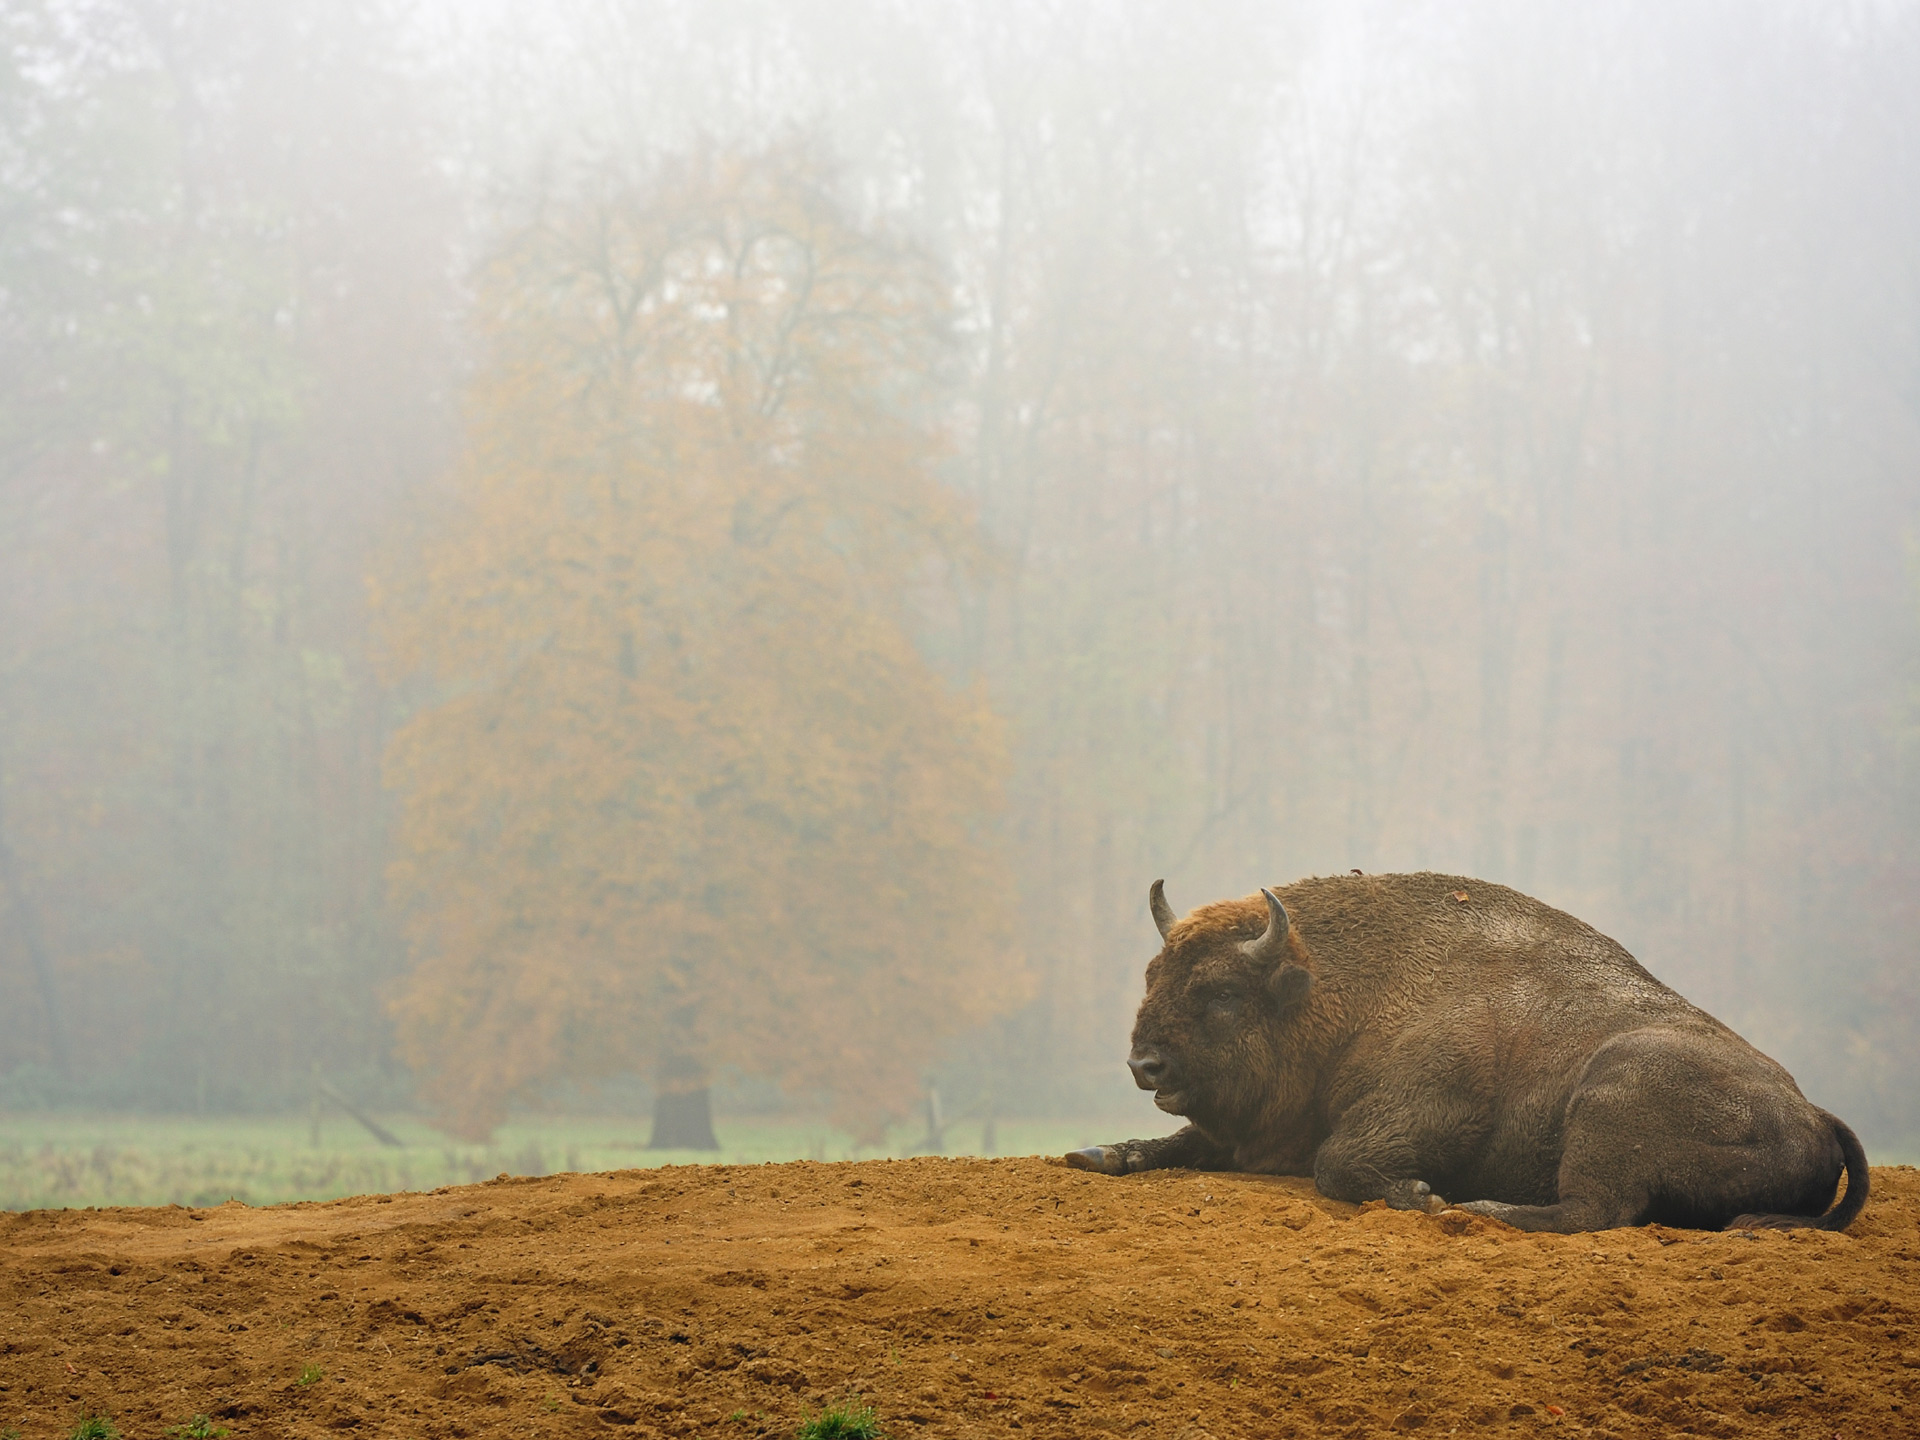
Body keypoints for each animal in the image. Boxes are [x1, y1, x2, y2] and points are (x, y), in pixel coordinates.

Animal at [1059, 875, 1866, 1236]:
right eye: (1153, 976)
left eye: (1223, 992)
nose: (1145, 1065)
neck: (1345, 992)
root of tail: (1817, 1117)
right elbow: (1180, 1141)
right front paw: (1098, 1153)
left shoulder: (1436, 1105)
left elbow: (1337, 1162)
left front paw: (1420, 1194)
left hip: (1612, 1092)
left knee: (1598, 1208)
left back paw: (1486, 1209)